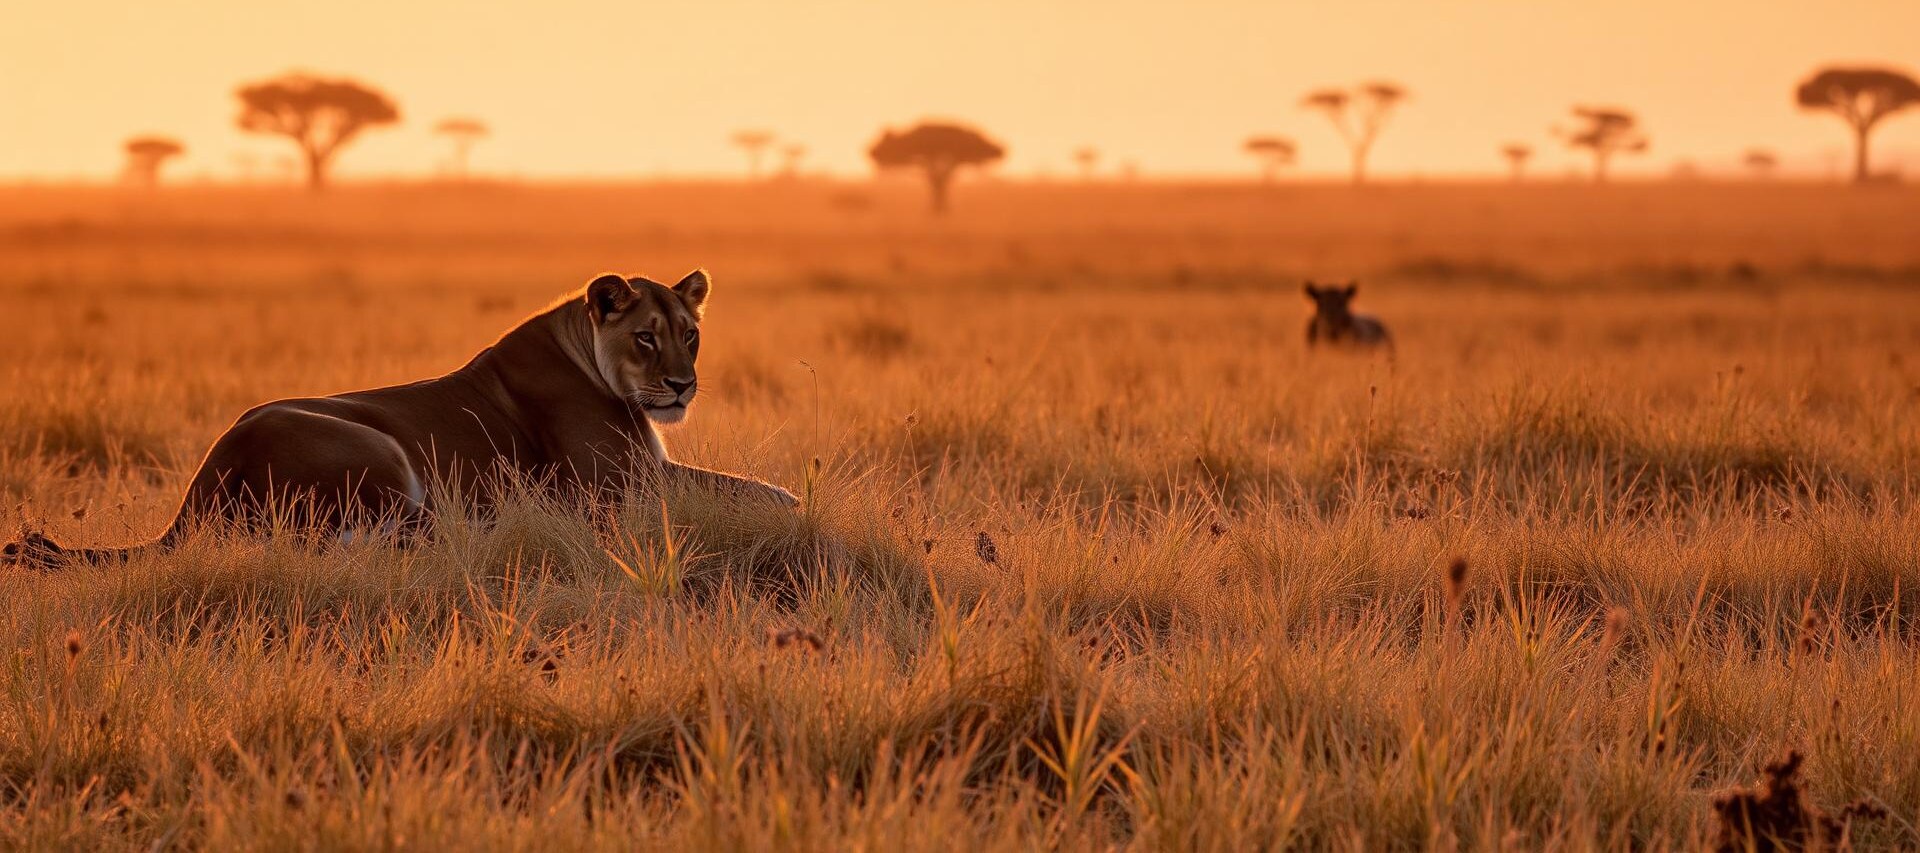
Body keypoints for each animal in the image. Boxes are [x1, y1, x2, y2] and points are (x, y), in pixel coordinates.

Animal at [3, 270, 796, 569]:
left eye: (689, 334)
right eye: (645, 338)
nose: (681, 385)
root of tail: (207, 476)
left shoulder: (645, 474)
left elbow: (751, 486)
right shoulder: (620, 487)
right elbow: (754, 490)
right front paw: (793, 506)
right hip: (374, 442)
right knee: (384, 534)